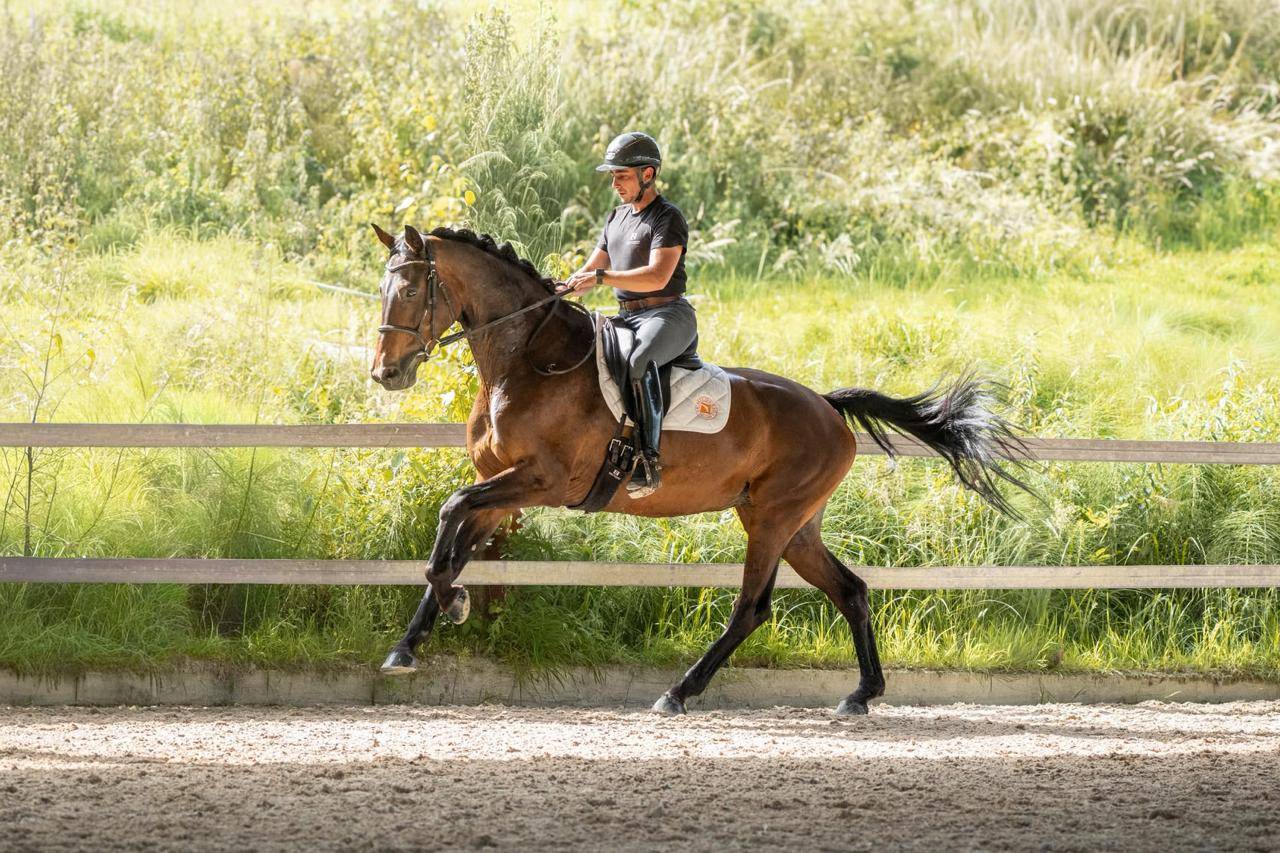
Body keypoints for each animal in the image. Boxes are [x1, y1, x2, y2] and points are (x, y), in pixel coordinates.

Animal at [368, 223, 1032, 715]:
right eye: (383, 290)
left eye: (410, 292)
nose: (386, 373)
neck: (526, 361)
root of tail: (826, 405)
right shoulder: (504, 489)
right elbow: (452, 544)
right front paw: (410, 644)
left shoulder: (544, 482)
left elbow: (451, 509)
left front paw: (450, 607)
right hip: (795, 525)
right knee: (850, 590)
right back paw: (861, 695)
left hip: (772, 520)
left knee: (752, 608)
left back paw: (679, 692)